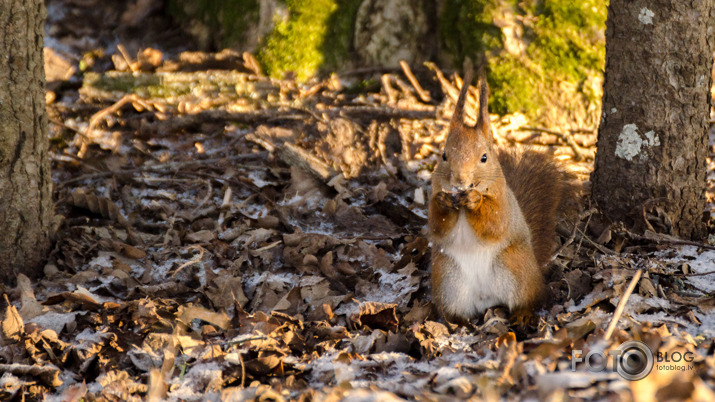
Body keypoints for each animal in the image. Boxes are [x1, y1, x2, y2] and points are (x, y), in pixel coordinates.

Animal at [430, 66, 576, 324]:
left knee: (530, 298)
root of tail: (486, 299)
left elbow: (495, 224)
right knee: (455, 309)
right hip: (448, 280)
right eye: (444, 155)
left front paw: (475, 201)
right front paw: (443, 202)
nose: (459, 181)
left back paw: (523, 315)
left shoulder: (503, 202)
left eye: (484, 157)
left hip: (514, 268)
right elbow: (437, 226)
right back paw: (456, 321)